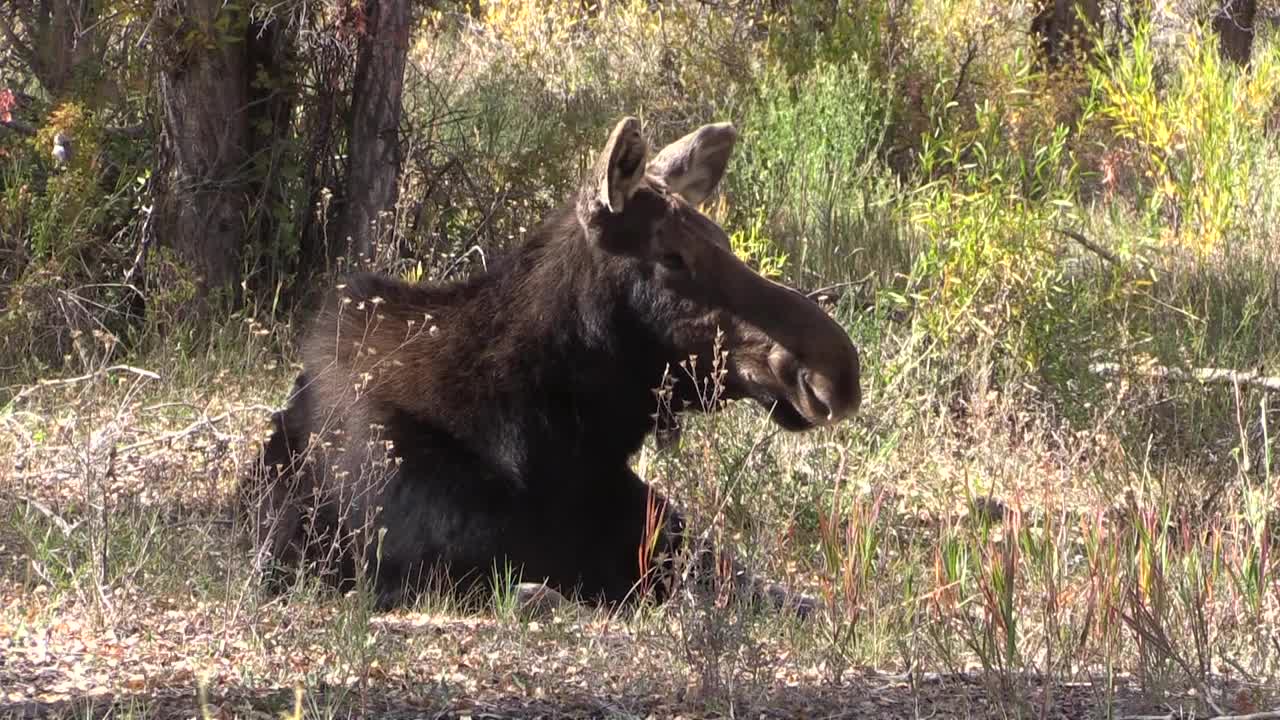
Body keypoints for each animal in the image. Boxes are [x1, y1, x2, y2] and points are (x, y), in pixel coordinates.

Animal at [241, 114, 860, 614]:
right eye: (672, 256)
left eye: (724, 240)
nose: (836, 370)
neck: (548, 443)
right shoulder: (387, 568)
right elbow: (540, 592)